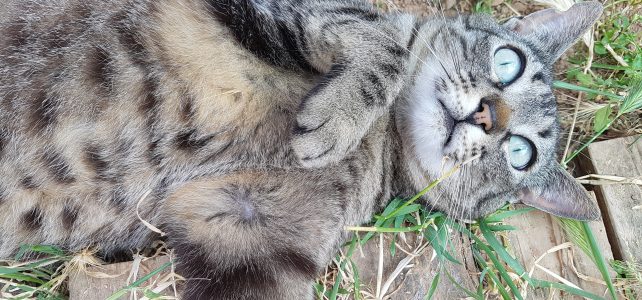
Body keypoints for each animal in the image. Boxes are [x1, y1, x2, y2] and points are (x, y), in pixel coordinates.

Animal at [0, 0, 600, 298]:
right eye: (508, 61)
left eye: (519, 154)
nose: (487, 115)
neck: (387, 134)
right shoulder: (280, 7)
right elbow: (385, 42)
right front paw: (336, 118)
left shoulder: (251, 229)